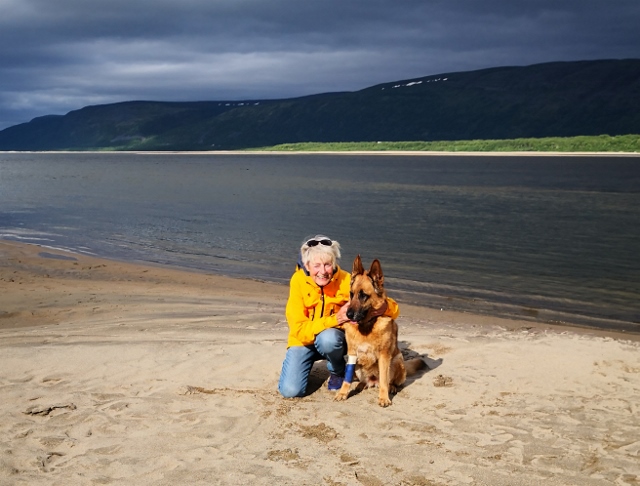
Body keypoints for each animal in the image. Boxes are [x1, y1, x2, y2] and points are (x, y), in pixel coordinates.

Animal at [336, 254, 424, 406]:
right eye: (351, 294)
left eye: (363, 295)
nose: (347, 315)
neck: (366, 326)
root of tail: (373, 380)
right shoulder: (352, 353)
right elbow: (347, 379)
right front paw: (343, 392)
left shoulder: (384, 356)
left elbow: (384, 380)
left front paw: (383, 398)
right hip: (359, 367)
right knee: (364, 381)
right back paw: (361, 385)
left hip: (397, 361)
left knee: (390, 382)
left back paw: (392, 388)